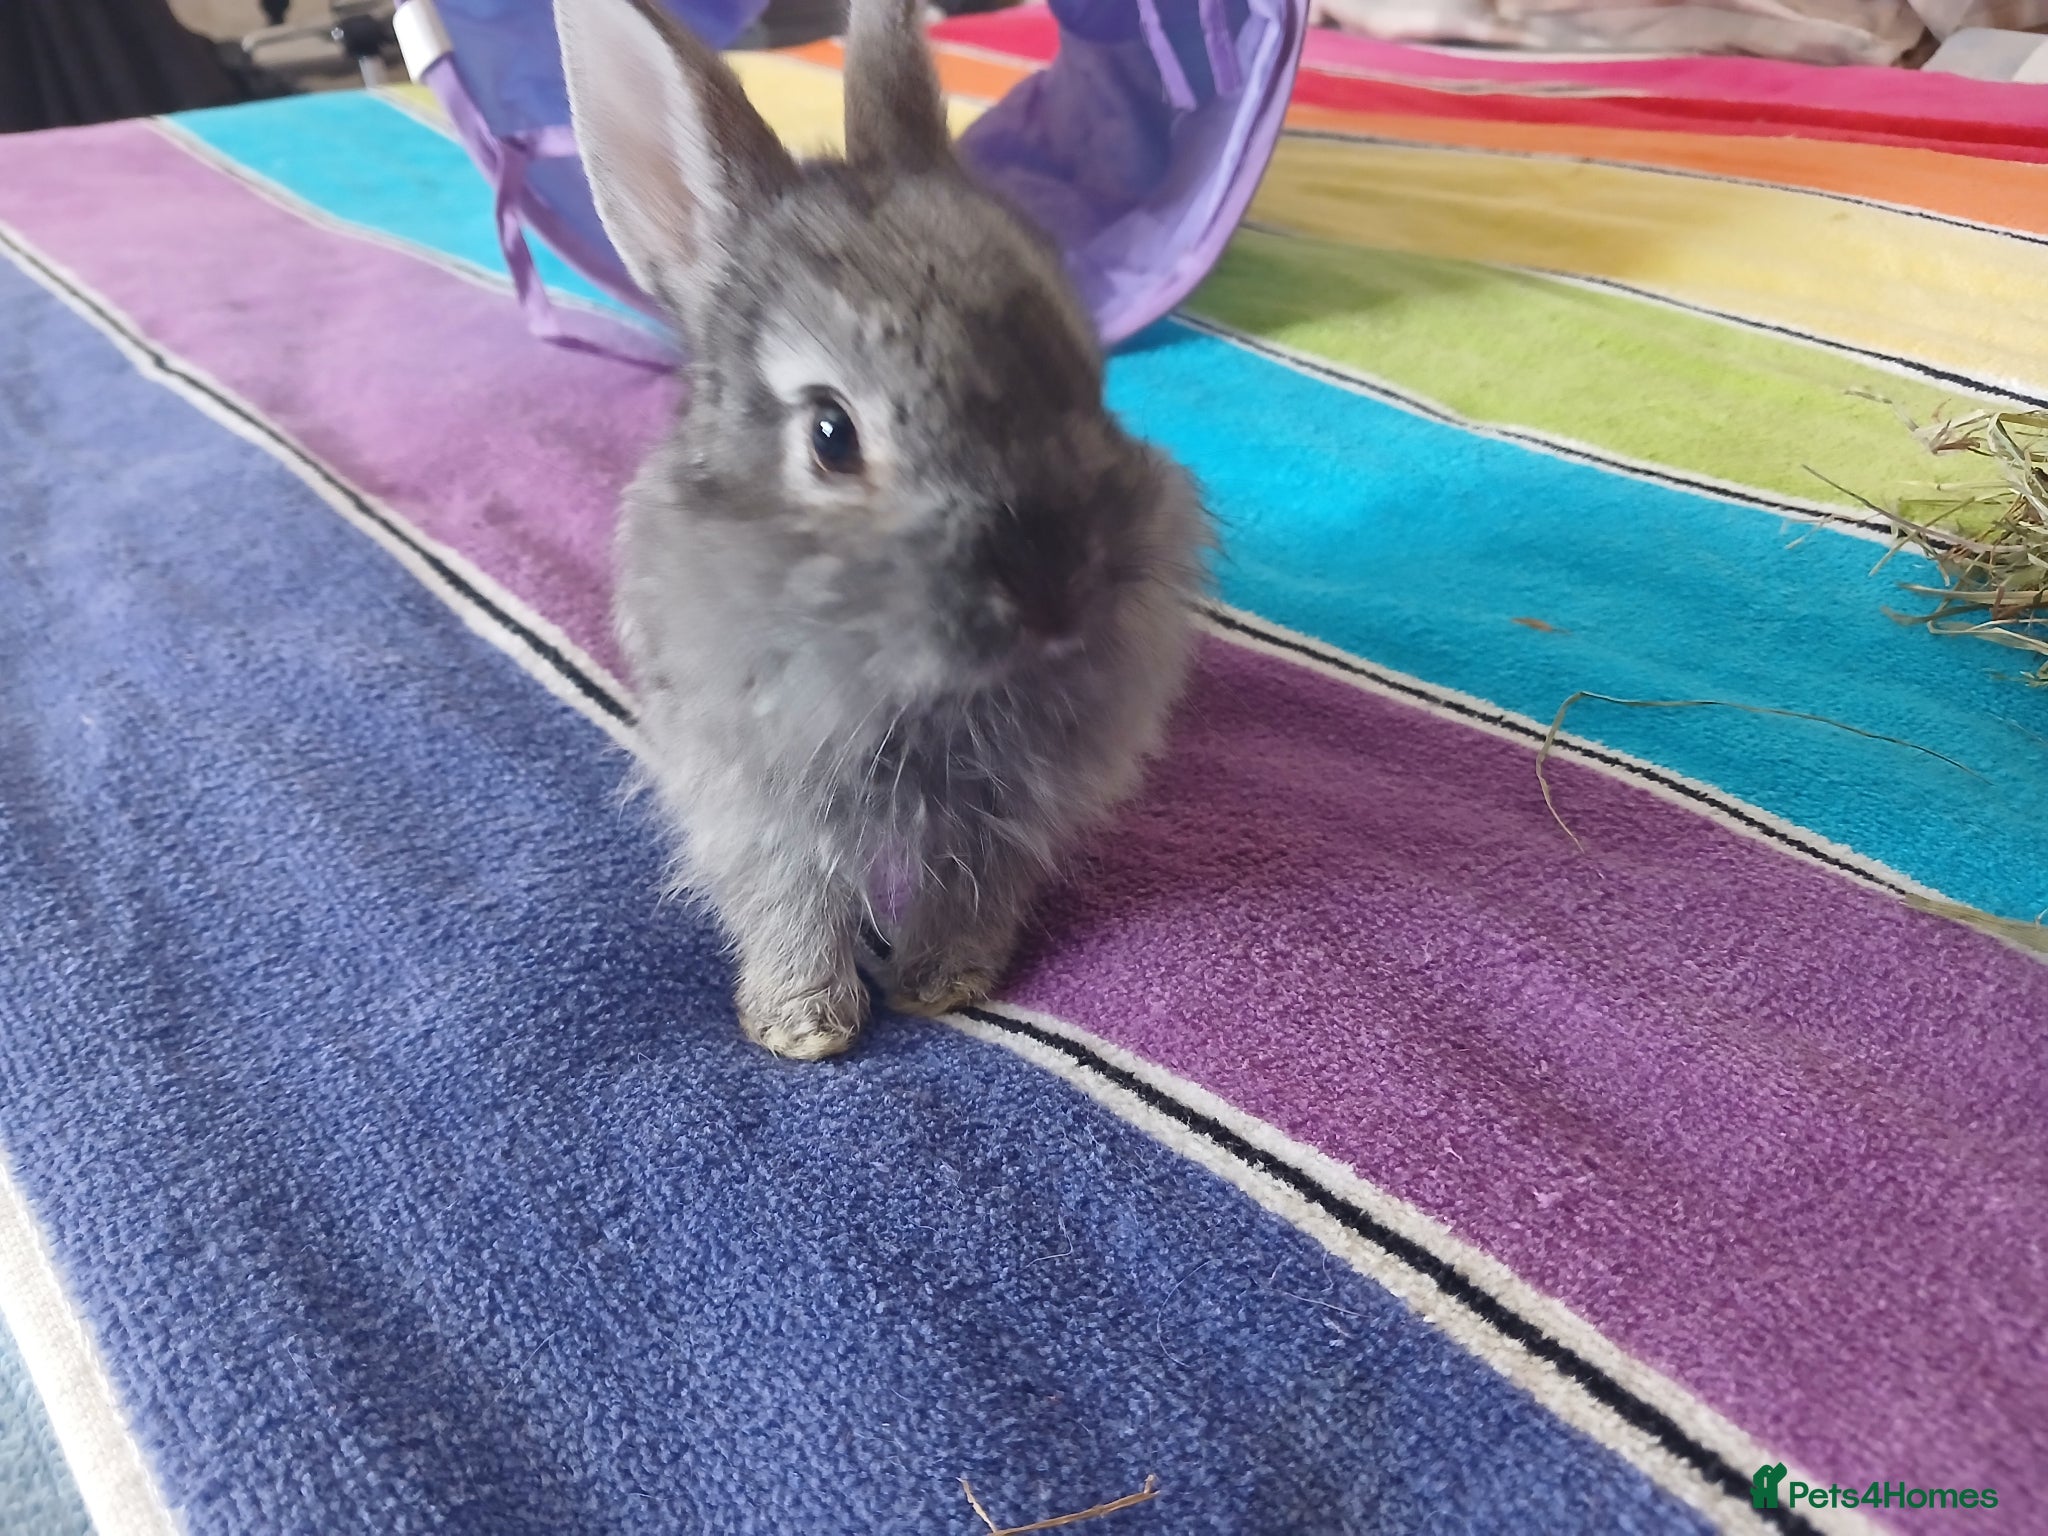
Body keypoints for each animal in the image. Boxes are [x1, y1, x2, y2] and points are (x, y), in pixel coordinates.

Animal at [557, 0, 1210, 1058]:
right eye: (831, 435)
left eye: (1087, 379)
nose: (1056, 591)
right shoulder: (755, 803)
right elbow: (789, 903)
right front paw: (804, 1027)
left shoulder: (1005, 810)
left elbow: (970, 890)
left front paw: (943, 984)